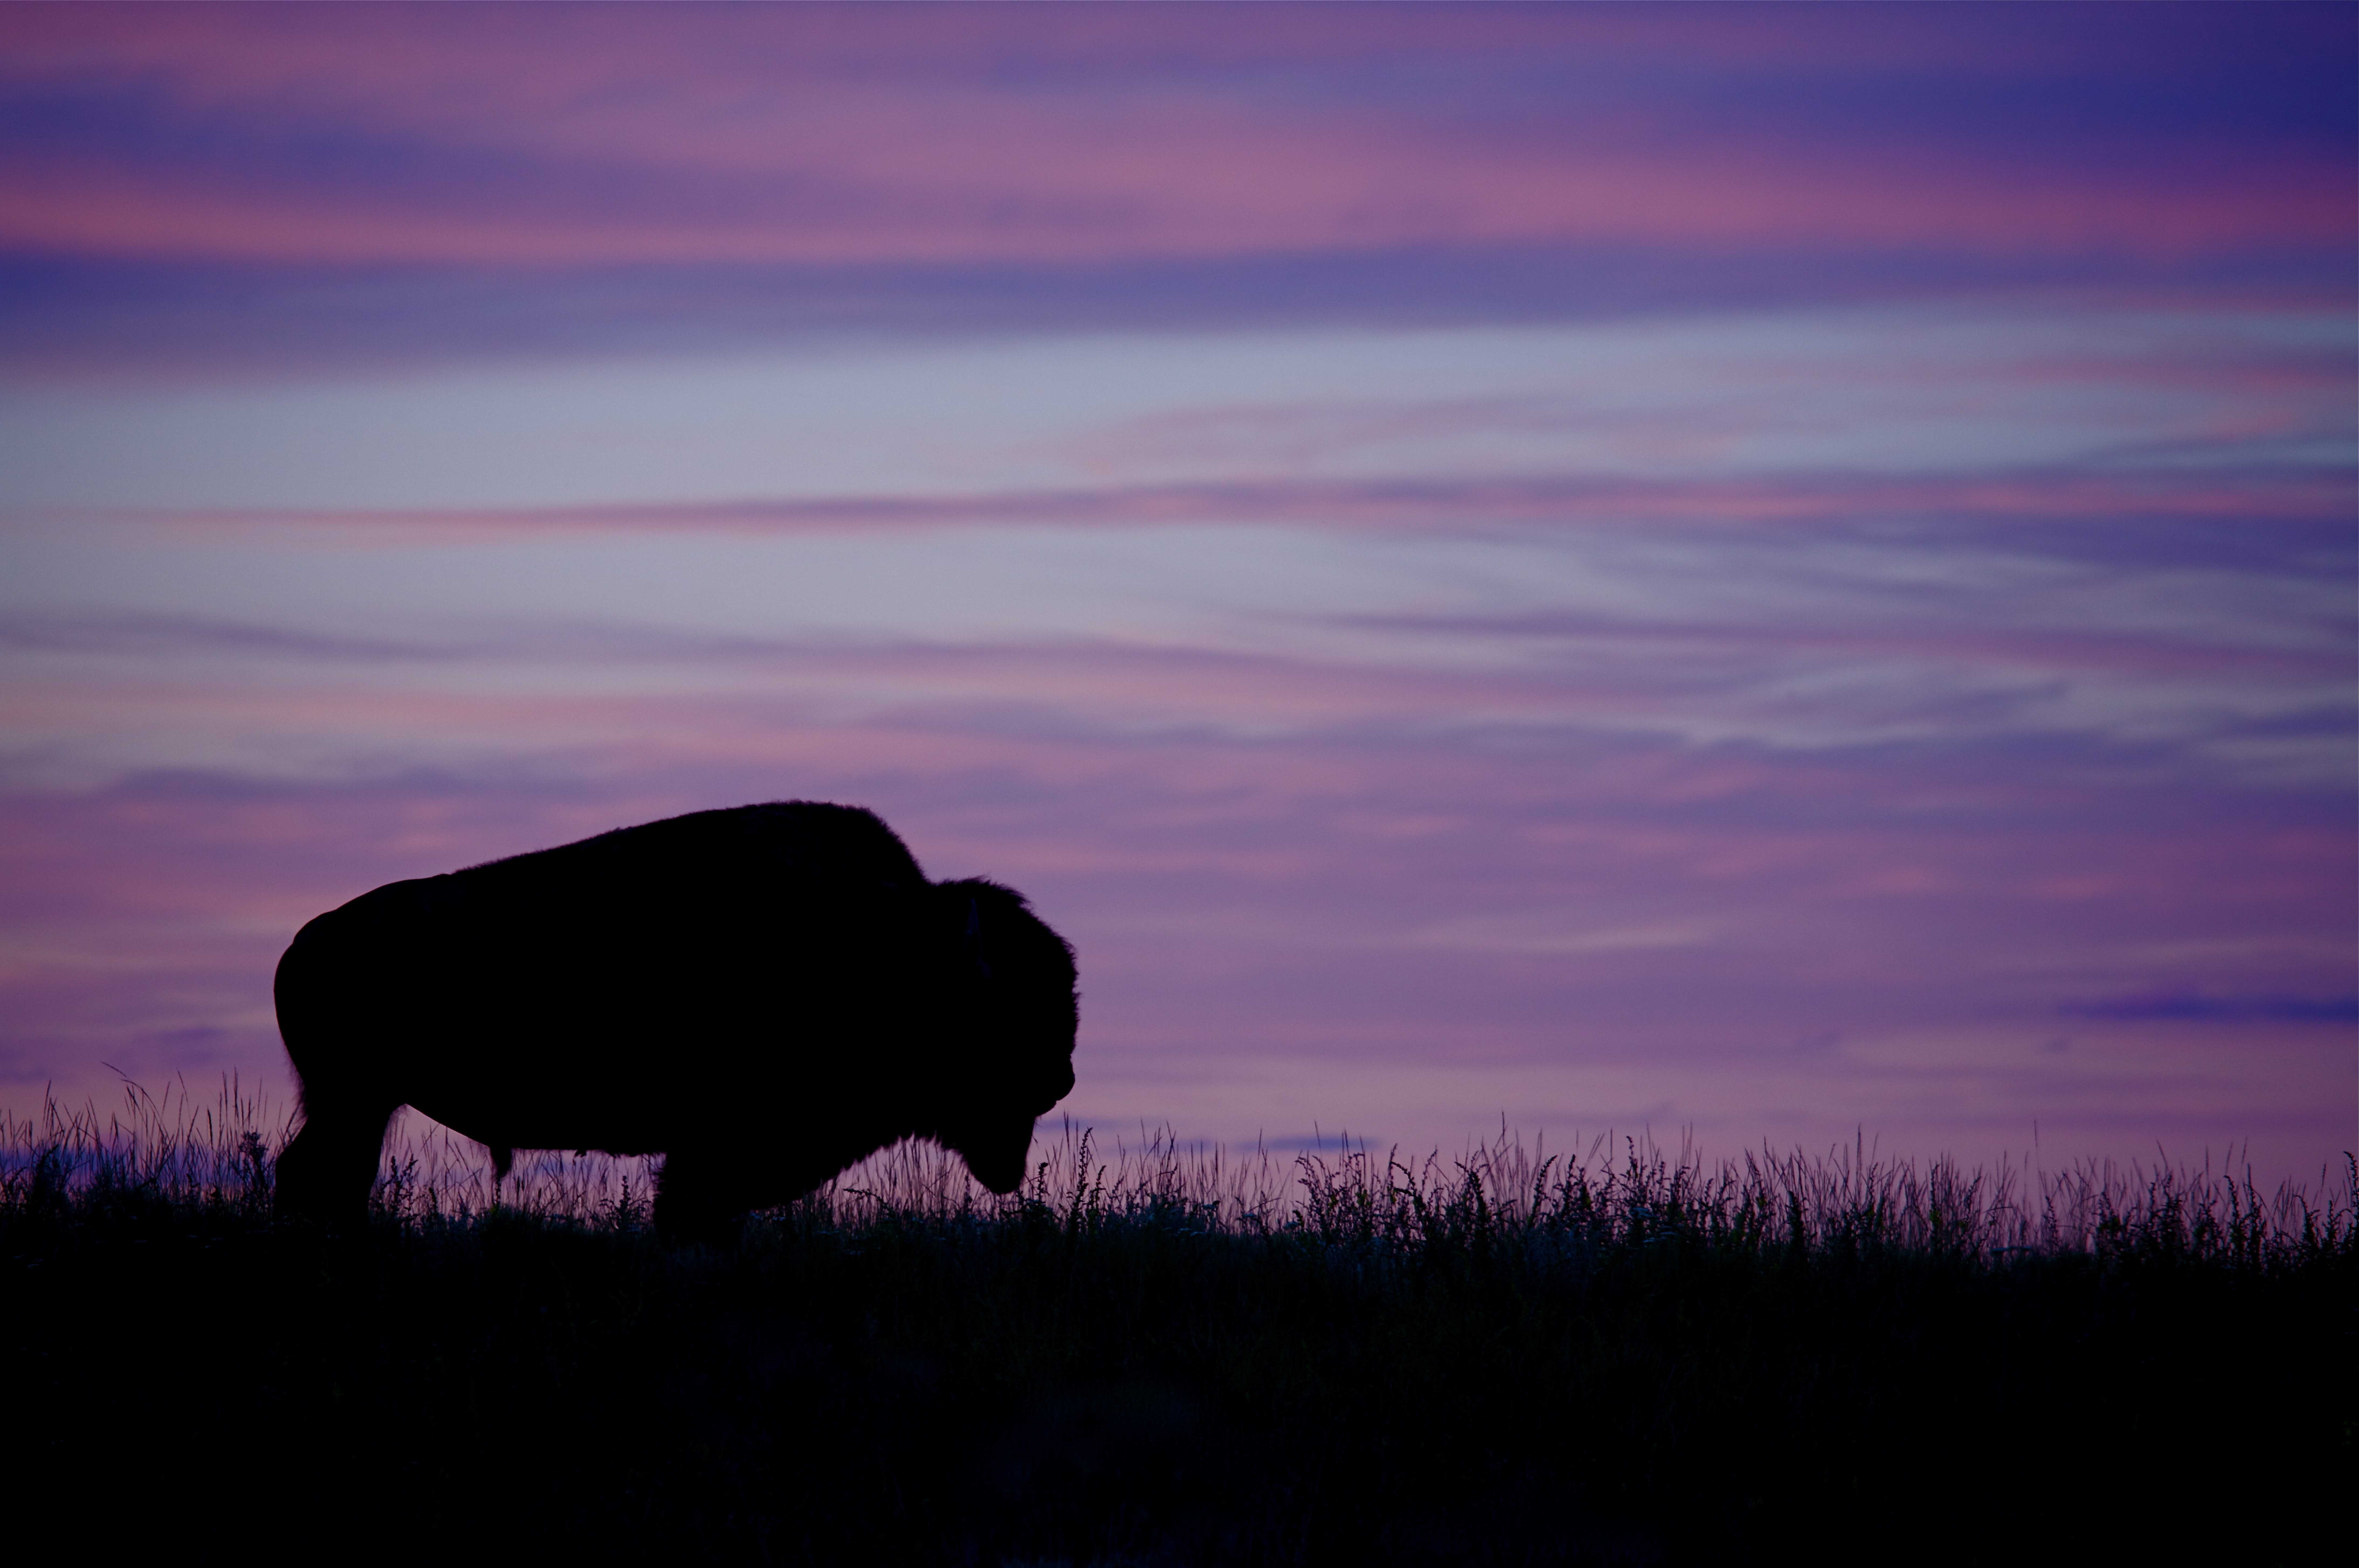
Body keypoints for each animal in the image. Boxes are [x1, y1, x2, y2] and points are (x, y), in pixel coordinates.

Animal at [273, 801, 1077, 1241]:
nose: (1062, 1076)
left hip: (358, 1104)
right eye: (1007, 1010)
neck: (884, 944)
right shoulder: (716, 1149)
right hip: (353, 1100)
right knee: (320, 1178)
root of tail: (304, 945)